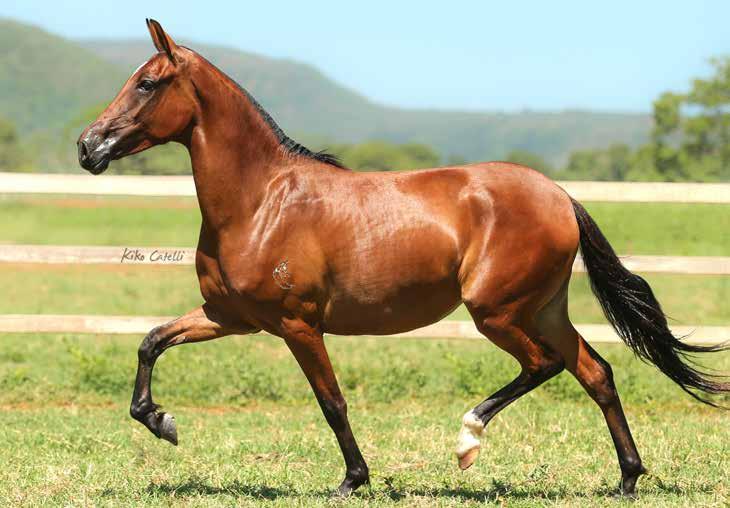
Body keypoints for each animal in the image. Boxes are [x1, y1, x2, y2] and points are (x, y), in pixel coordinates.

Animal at [77, 18, 724, 496]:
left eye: (147, 83)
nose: (88, 146)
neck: (261, 202)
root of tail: (559, 195)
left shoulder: (297, 324)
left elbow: (332, 401)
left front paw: (353, 480)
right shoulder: (230, 316)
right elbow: (151, 341)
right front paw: (162, 422)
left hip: (496, 312)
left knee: (547, 365)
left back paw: (468, 442)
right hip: (542, 309)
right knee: (596, 372)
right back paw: (627, 479)